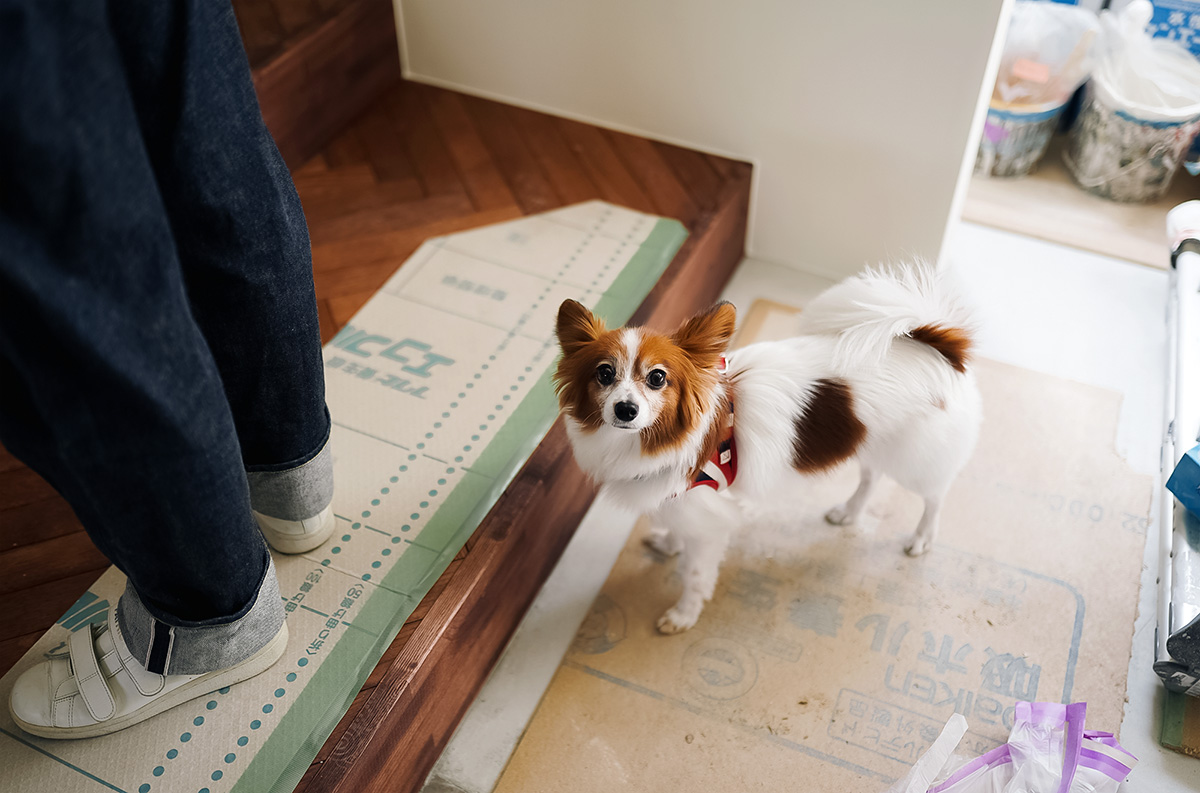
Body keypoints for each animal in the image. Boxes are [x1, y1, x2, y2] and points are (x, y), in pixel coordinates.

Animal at [556, 262, 979, 633]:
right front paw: (670, 544)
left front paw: (683, 616)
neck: (654, 438)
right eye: (604, 373)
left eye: (657, 378)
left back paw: (921, 538)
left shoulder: (709, 517)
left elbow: (695, 575)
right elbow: (678, 527)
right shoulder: (682, 500)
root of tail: (940, 347)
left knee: (935, 496)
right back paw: (848, 512)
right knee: (871, 476)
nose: (625, 409)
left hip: (915, 460)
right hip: (871, 441)